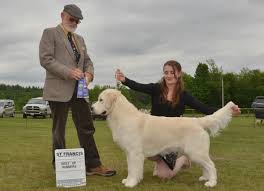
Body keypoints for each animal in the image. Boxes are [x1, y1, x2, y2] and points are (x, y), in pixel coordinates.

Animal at [92, 89, 235, 187]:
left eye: (101, 100)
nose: (92, 108)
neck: (122, 116)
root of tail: (197, 120)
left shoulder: (134, 153)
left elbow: (134, 169)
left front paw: (131, 183)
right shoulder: (129, 153)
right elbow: (131, 168)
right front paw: (128, 180)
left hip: (196, 152)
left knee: (211, 165)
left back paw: (212, 182)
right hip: (196, 153)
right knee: (206, 166)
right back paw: (205, 178)